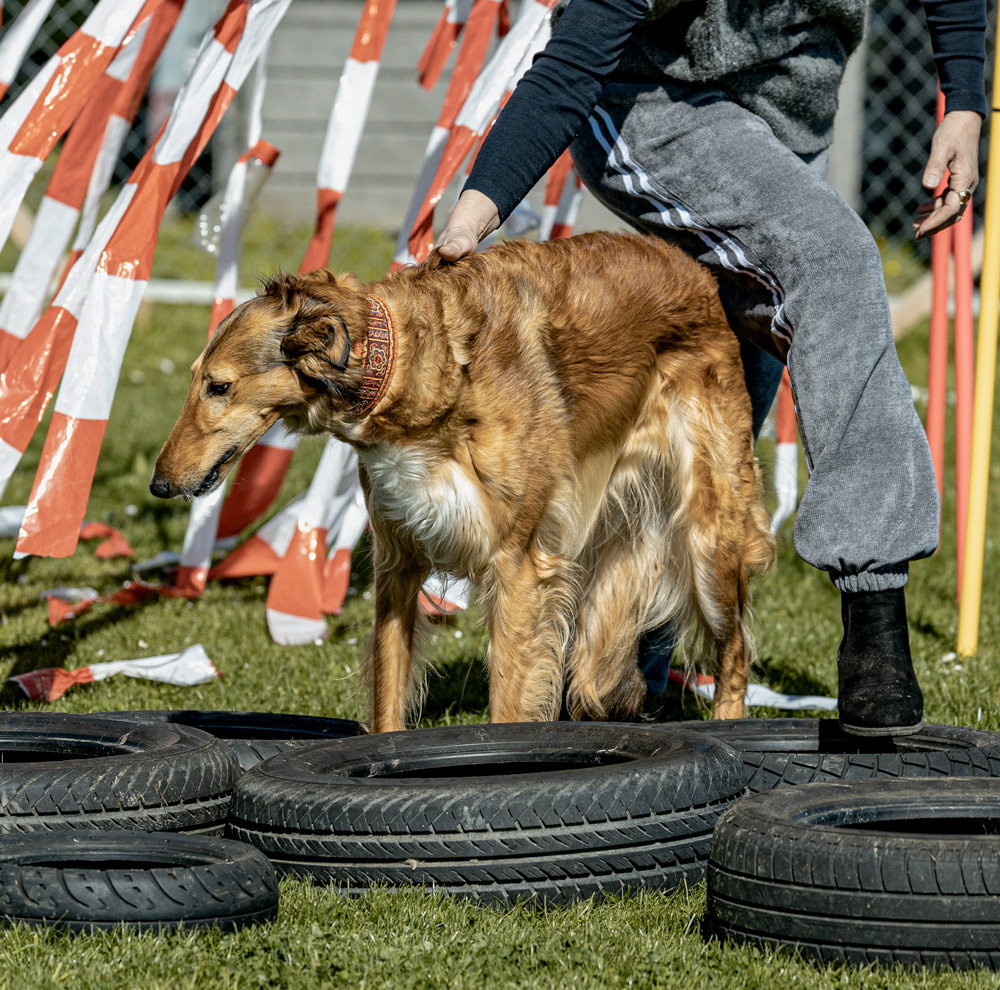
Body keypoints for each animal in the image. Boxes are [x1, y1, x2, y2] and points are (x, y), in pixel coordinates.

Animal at [151, 232, 775, 733]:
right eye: (197, 379)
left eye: (218, 386)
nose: (160, 484)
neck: (408, 369)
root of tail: (693, 270)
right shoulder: (398, 561)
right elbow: (388, 695)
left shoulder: (517, 565)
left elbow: (507, 698)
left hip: (710, 540)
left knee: (736, 654)